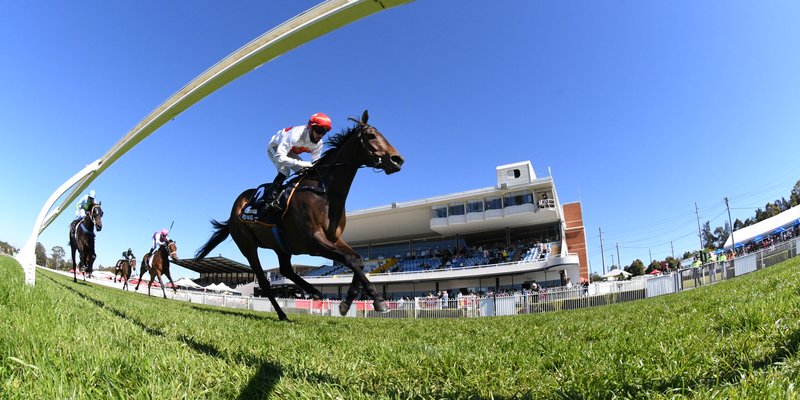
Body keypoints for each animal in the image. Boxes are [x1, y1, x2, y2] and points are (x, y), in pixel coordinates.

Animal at [197, 110, 404, 322]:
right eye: (371, 136)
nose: (397, 159)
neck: (324, 193)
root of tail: (236, 207)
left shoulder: (333, 239)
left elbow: (357, 260)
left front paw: (347, 302)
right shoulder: (313, 242)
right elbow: (350, 260)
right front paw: (377, 299)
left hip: (280, 245)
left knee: (285, 269)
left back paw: (313, 291)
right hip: (247, 244)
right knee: (264, 281)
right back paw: (283, 313)